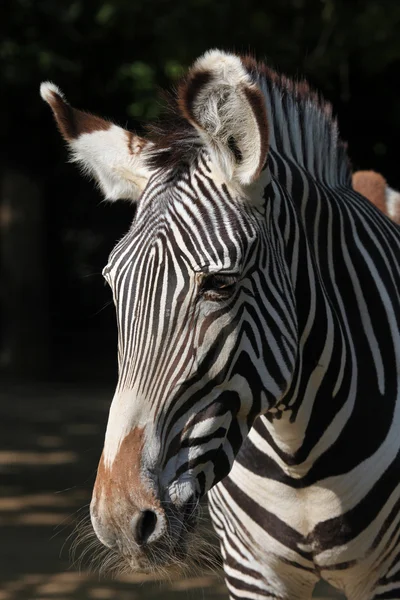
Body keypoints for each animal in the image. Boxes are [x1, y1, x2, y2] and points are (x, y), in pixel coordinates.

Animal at [41, 49, 400, 596]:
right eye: (113, 286)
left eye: (220, 285)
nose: (120, 520)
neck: (300, 459)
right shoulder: (251, 570)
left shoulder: (388, 575)